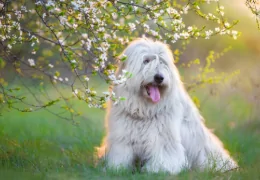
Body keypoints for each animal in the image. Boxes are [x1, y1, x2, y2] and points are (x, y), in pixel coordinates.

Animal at [97, 38, 238, 174]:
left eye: (163, 62)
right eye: (146, 61)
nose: (159, 77)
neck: (144, 110)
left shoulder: (163, 138)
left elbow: (164, 156)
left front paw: (158, 169)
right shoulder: (122, 138)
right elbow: (121, 156)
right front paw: (116, 168)